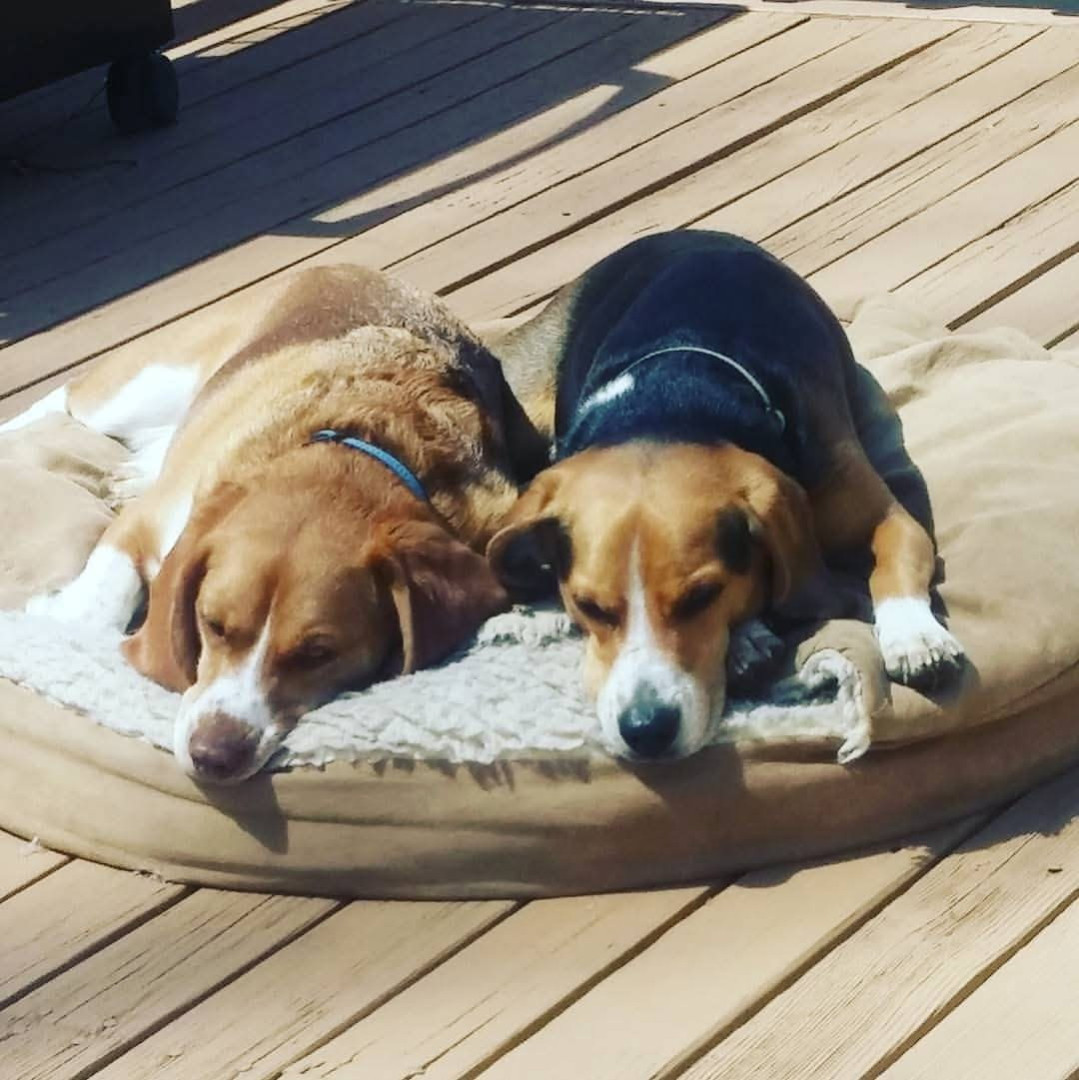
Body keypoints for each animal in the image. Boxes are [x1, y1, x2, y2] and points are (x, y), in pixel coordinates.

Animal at [4, 265, 546, 782]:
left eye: (318, 654)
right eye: (212, 624)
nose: (214, 755)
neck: (355, 449)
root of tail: (355, 269)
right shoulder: (148, 523)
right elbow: (94, 610)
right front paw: (55, 614)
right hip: (140, 389)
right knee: (61, 400)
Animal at [486, 230, 965, 760]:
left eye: (702, 596)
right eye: (588, 607)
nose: (645, 730)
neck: (671, 404)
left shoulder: (886, 516)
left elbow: (894, 563)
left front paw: (913, 637)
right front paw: (748, 639)